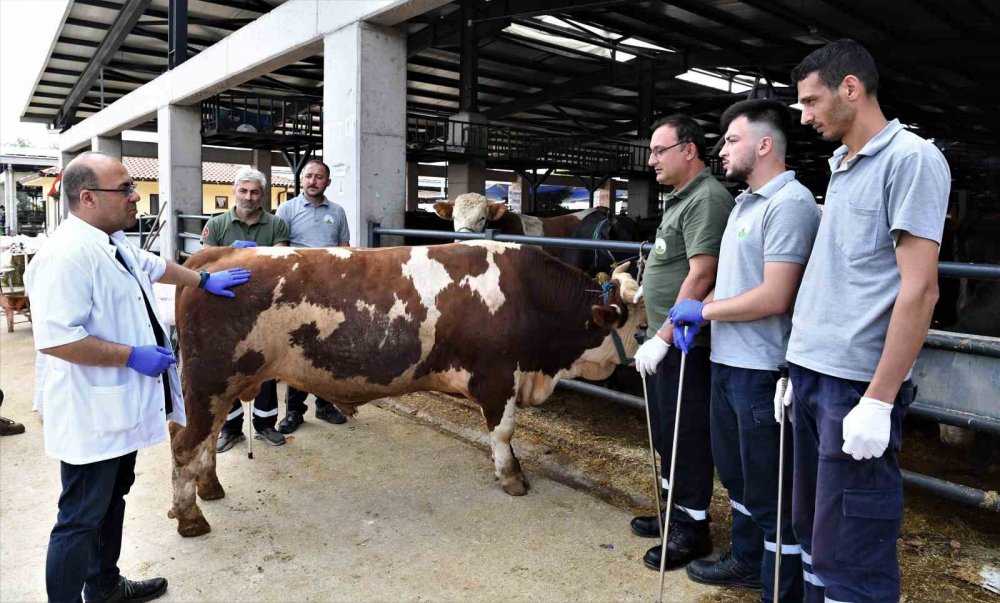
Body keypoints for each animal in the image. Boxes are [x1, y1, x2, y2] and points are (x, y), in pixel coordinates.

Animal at [168, 243, 644, 536]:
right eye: (637, 325)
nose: (642, 363)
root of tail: (217, 254)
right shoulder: (497, 377)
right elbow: (504, 432)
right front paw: (511, 478)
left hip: (221, 387)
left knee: (204, 439)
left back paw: (210, 488)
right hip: (209, 383)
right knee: (186, 443)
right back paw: (191, 519)